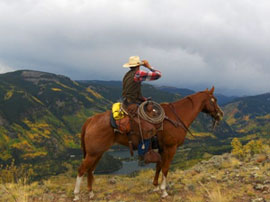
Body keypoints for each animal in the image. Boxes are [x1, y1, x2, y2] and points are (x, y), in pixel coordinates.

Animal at [73, 86, 223, 200]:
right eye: (214, 100)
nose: (220, 114)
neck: (176, 117)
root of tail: (91, 120)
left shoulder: (161, 149)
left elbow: (158, 166)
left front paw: (156, 187)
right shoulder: (171, 148)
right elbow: (165, 168)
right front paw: (164, 191)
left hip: (98, 153)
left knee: (90, 170)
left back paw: (91, 193)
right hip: (93, 153)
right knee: (82, 170)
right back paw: (76, 195)